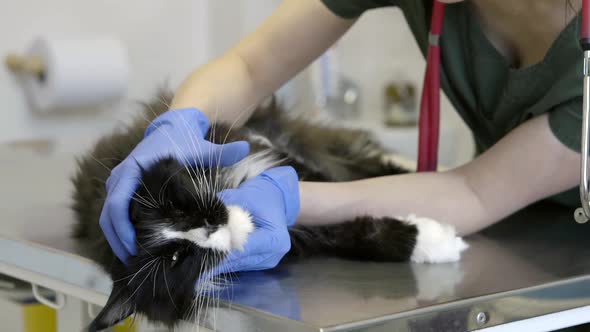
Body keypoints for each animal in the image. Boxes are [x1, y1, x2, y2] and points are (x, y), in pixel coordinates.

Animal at [69, 91, 470, 332]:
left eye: (178, 210)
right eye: (177, 258)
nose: (209, 224)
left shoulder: (283, 163)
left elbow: (343, 191)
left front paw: (436, 237)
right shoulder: (304, 232)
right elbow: (358, 233)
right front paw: (436, 242)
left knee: (367, 161)